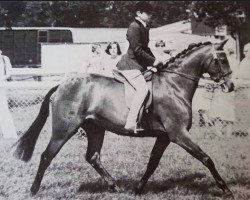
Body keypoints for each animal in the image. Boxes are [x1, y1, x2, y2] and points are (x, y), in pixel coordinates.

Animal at [13, 40, 234, 197]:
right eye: (222, 59)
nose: (230, 86)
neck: (174, 85)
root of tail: (61, 85)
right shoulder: (178, 134)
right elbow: (206, 158)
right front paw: (226, 189)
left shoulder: (164, 136)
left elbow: (152, 162)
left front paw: (138, 189)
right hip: (64, 130)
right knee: (46, 156)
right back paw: (34, 190)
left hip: (95, 128)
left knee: (93, 157)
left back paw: (113, 185)